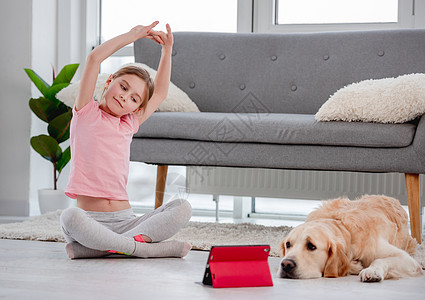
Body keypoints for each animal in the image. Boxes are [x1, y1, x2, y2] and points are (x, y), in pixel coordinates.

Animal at [278, 195, 420, 282]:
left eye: (311, 246)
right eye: (288, 244)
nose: (286, 264)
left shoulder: (407, 259)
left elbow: (379, 260)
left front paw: (371, 271)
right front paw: (355, 266)